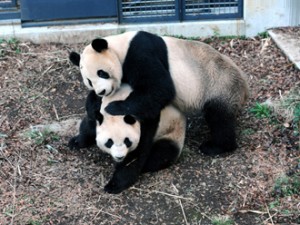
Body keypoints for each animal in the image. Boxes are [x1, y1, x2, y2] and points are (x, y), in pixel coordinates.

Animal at [69, 30, 250, 156]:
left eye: (102, 73)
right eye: (89, 81)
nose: (102, 91)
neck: (120, 47)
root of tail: (245, 88)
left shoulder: (139, 52)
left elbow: (160, 87)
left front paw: (114, 107)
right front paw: (82, 132)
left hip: (220, 86)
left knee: (219, 118)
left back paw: (216, 147)